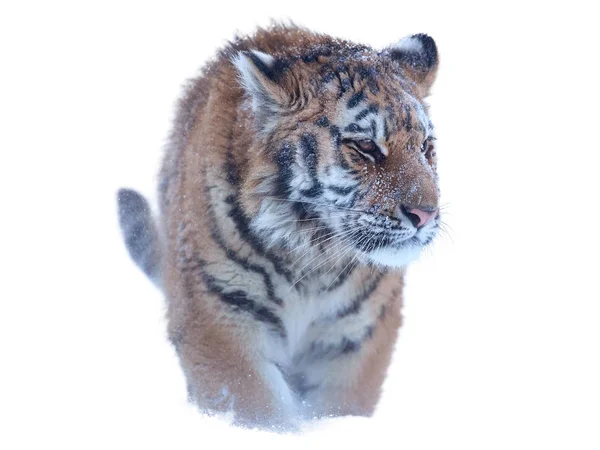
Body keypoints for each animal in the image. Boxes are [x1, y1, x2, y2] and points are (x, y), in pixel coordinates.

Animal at [118, 22, 440, 430]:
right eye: (366, 146)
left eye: (425, 146)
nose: (425, 214)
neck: (314, 255)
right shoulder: (220, 319)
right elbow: (257, 409)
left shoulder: (356, 336)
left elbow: (339, 406)